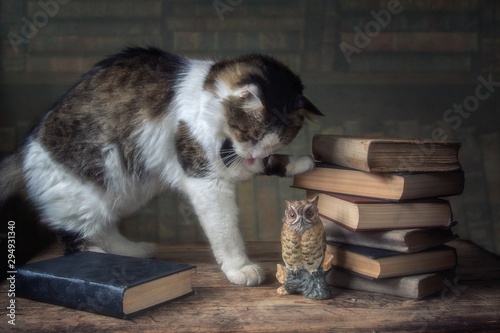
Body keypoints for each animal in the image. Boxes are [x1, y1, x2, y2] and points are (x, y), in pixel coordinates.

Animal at [0, 46, 322, 286]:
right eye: (249, 136)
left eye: (272, 145)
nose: (255, 156)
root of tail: (26, 147)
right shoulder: (205, 176)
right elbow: (225, 230)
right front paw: (239, 267)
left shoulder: (226, 163)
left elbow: (265, 166)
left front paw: (302, 162)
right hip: (86, 191)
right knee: (74, 236)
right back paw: (96, 259)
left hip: (123, 190)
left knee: (102, 227)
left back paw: (130, 252)